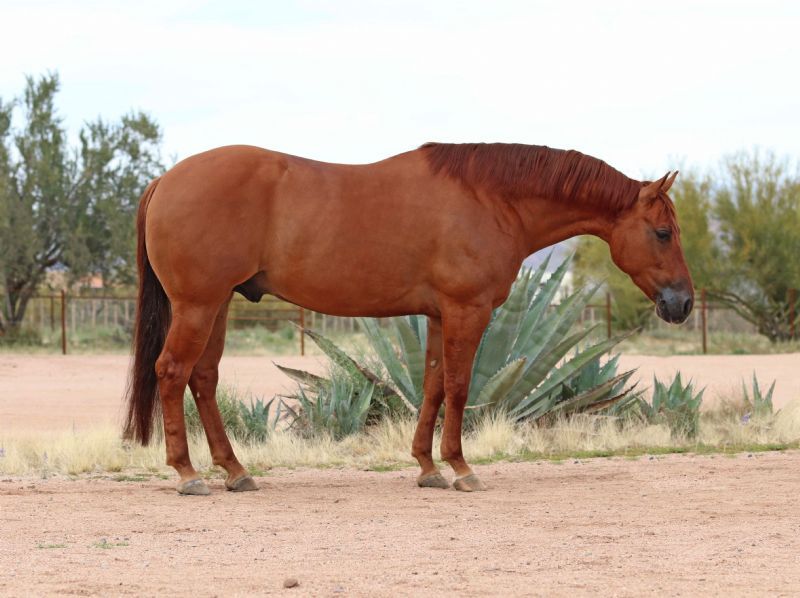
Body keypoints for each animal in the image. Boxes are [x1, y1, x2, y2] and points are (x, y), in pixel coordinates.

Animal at [124, 142, 693, 495]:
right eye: (663, 232)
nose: (683, 303)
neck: (491, 199)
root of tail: (165, 180)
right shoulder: (468, 310)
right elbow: (460, 386)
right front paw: (461, 467)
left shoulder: (440, 315)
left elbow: (434, 384)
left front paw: (426, 466)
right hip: (198, 305)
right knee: (172, 372)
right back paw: (188, 474)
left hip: (217, 304)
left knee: (202, 378)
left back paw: (235, 471)